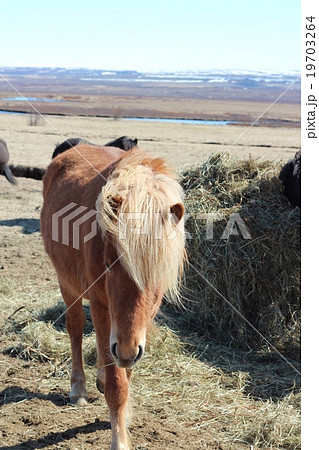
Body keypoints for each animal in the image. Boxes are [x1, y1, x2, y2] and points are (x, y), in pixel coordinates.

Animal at [40, 145, 185, 450]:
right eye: (108, 263)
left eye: (158, 273)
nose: (128, 351)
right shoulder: (101, 306)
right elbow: (117, 387)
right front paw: (120, 440)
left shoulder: (133, 331)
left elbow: (123, 373)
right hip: (68, 285)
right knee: (76, 328)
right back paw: (79, 388)